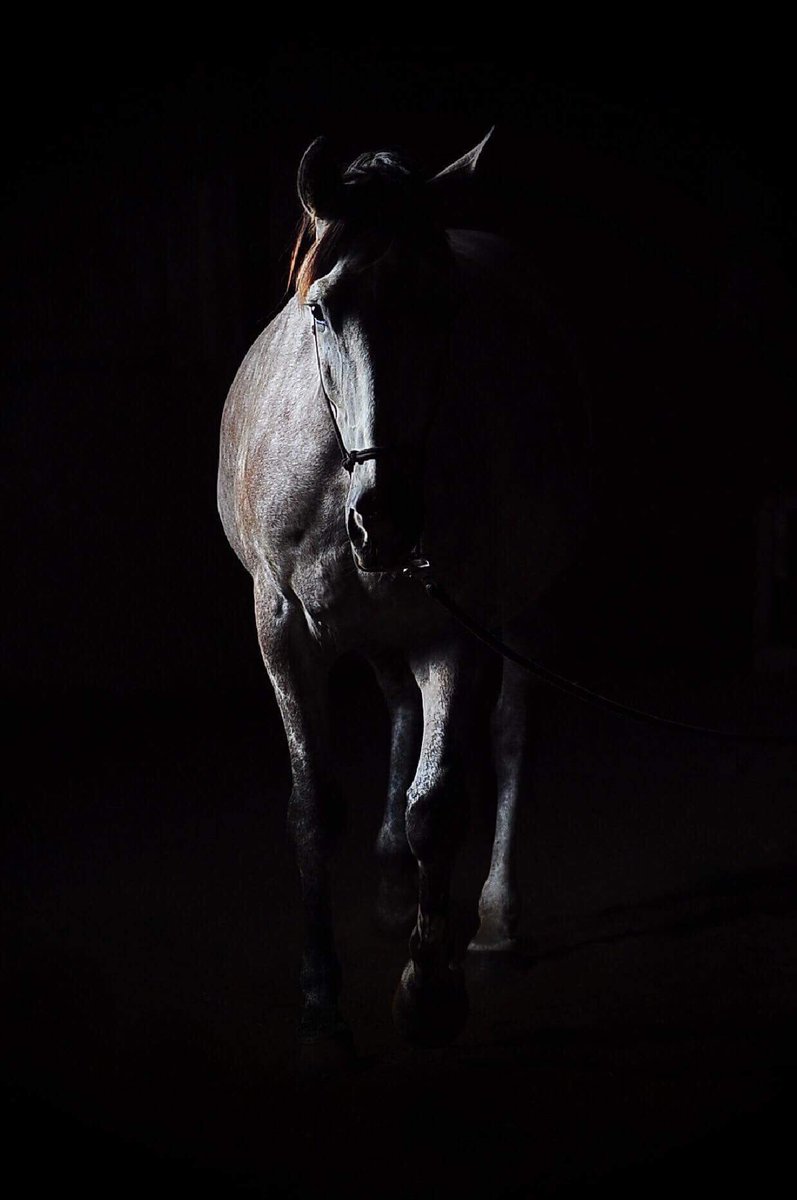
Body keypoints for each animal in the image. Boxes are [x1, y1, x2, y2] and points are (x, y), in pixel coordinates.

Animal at [217, 130, 591, 1057]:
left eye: (443, 306)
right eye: (321, 309)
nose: (384, 519)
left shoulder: (450, 632)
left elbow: (439, 806)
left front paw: (428, 990)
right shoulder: (284, 633)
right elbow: (313, 809)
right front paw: (321, 1006)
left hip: (517, 616)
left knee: (506, 739)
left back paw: (491, 924)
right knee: (396, 711)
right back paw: (393, 890)